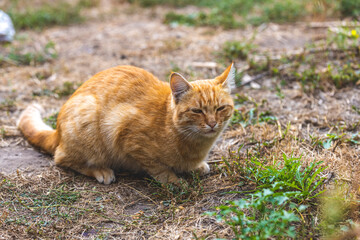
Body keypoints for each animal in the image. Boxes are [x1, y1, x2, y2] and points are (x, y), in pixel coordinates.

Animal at [18, 63, 235, 184]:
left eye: (220, 108)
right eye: (197, 111)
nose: (212, 124)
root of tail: (58, 132)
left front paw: (195, 168)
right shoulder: (126, 134)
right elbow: (159, 169)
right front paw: (174, 181)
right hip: (88, 122)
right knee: (62, 158)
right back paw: (101, 170)